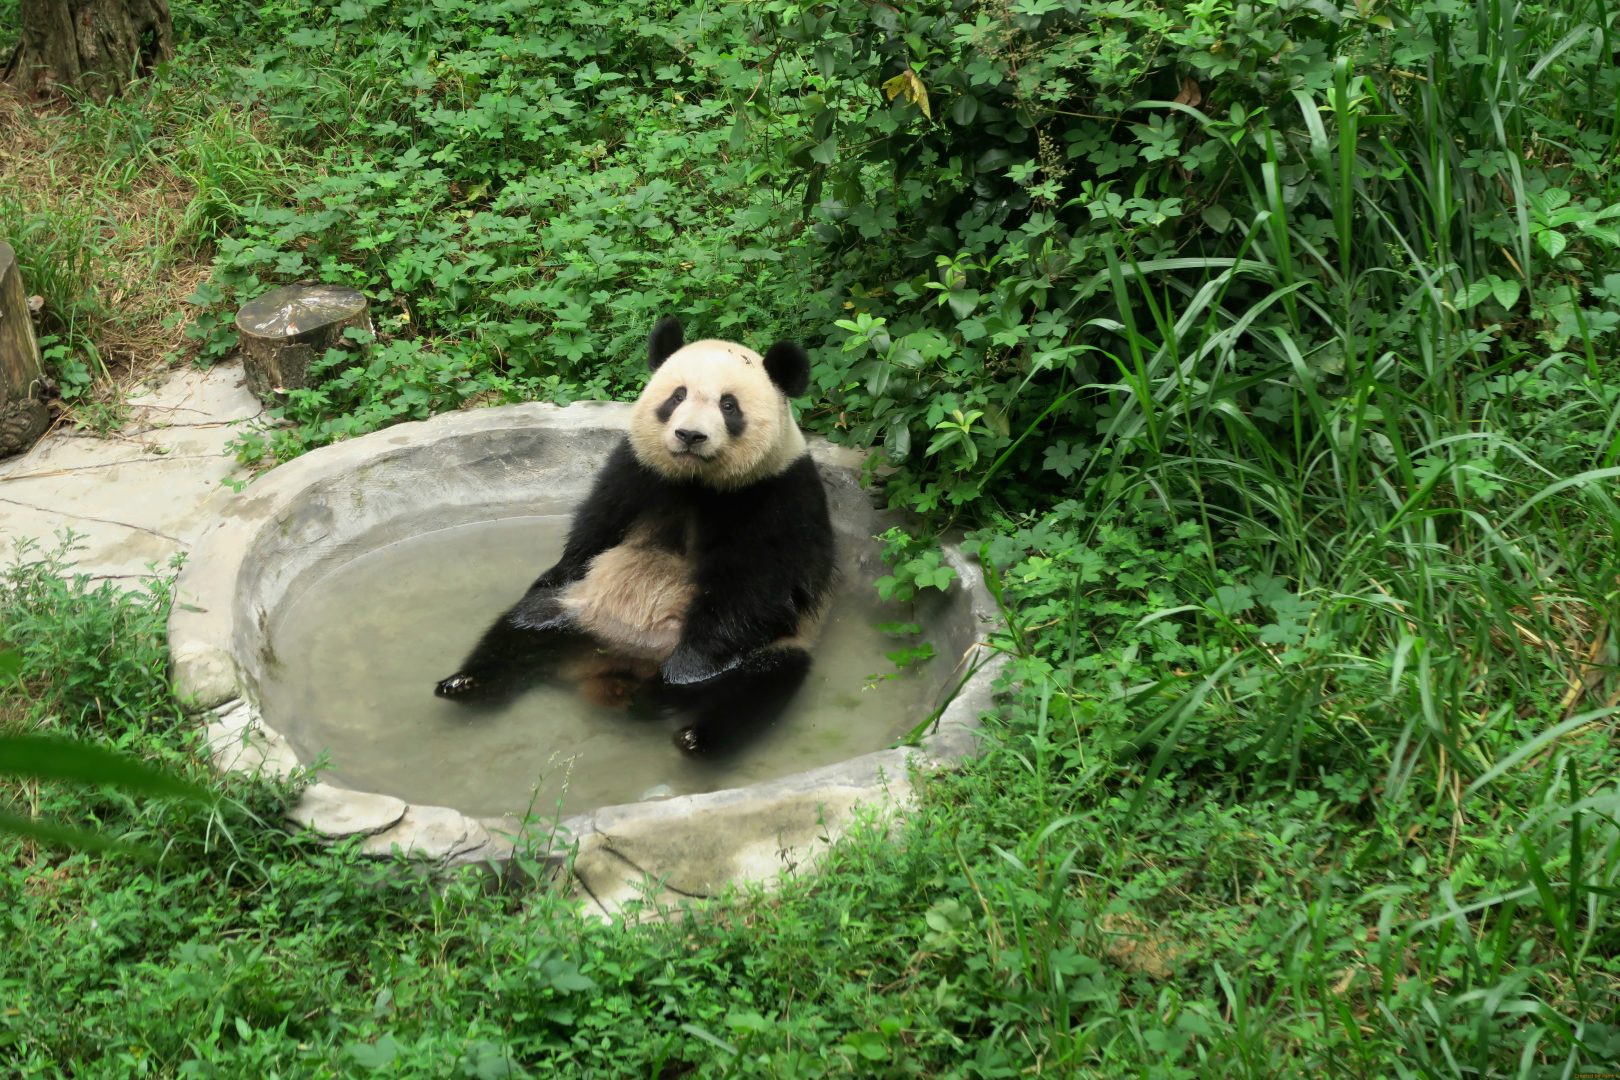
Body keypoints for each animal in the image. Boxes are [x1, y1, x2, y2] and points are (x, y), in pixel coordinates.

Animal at [434, 315, 836, 755]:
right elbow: (595, 530)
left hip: (774, 650)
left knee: (757, 686)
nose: (690, 436)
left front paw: (687, 670)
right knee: (519, 628)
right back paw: (467, 683)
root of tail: (612, 667)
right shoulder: (637, 469)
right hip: (575, 611)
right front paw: (557, 567)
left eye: (728, 405)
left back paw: (685, 725)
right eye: (677, 396)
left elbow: (756, 592)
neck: (697, 482)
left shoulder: (778, 495)